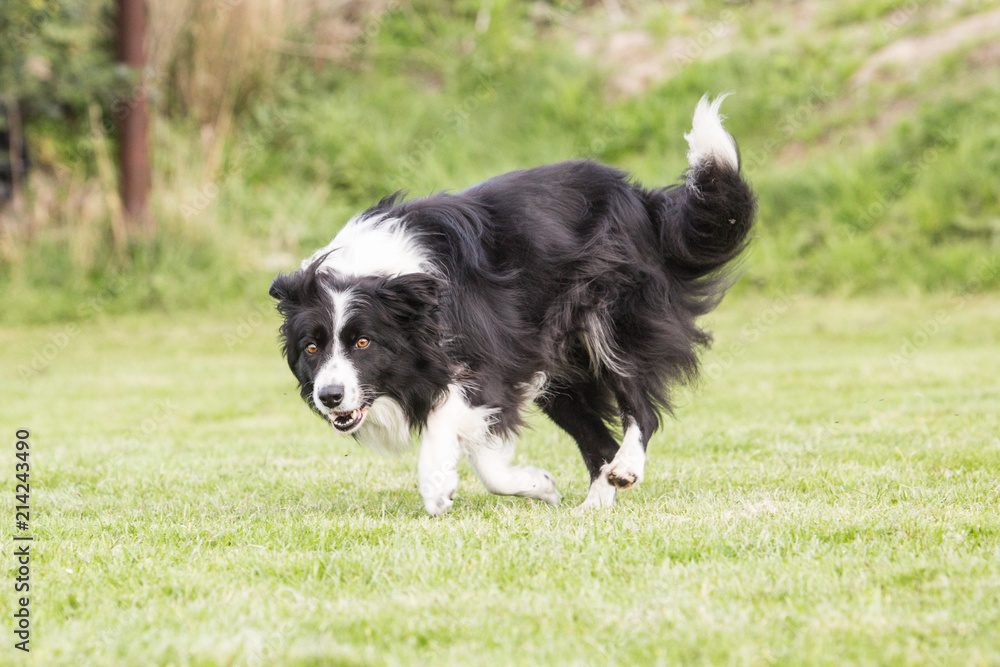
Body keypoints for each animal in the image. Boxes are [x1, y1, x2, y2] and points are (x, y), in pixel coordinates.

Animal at [270, 95, 752, 516]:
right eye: (311, 348)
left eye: (363, 342)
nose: (329, 397)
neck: (394, 278)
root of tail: (643, 201)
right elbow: (486, 445)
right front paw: (540, 485)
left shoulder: (491, 354)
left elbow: (457, 414)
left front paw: (437, 487)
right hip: (561, 365)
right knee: (596, 437)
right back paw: (594, 504)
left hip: (612, 312)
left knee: (640, 404)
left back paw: (627, 468)